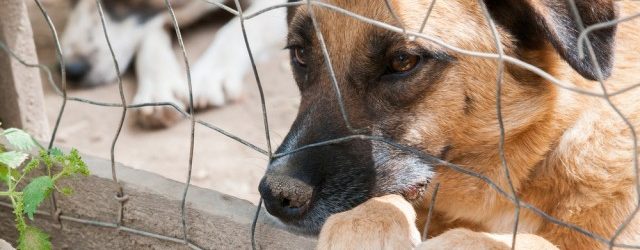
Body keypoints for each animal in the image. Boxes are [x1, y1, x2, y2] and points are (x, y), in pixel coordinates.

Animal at [258, 0, 640, 248]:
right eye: (300, 53)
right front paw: (364, 228)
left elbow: (522, 241)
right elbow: (379, 204)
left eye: (403, 60)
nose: (277, 195)